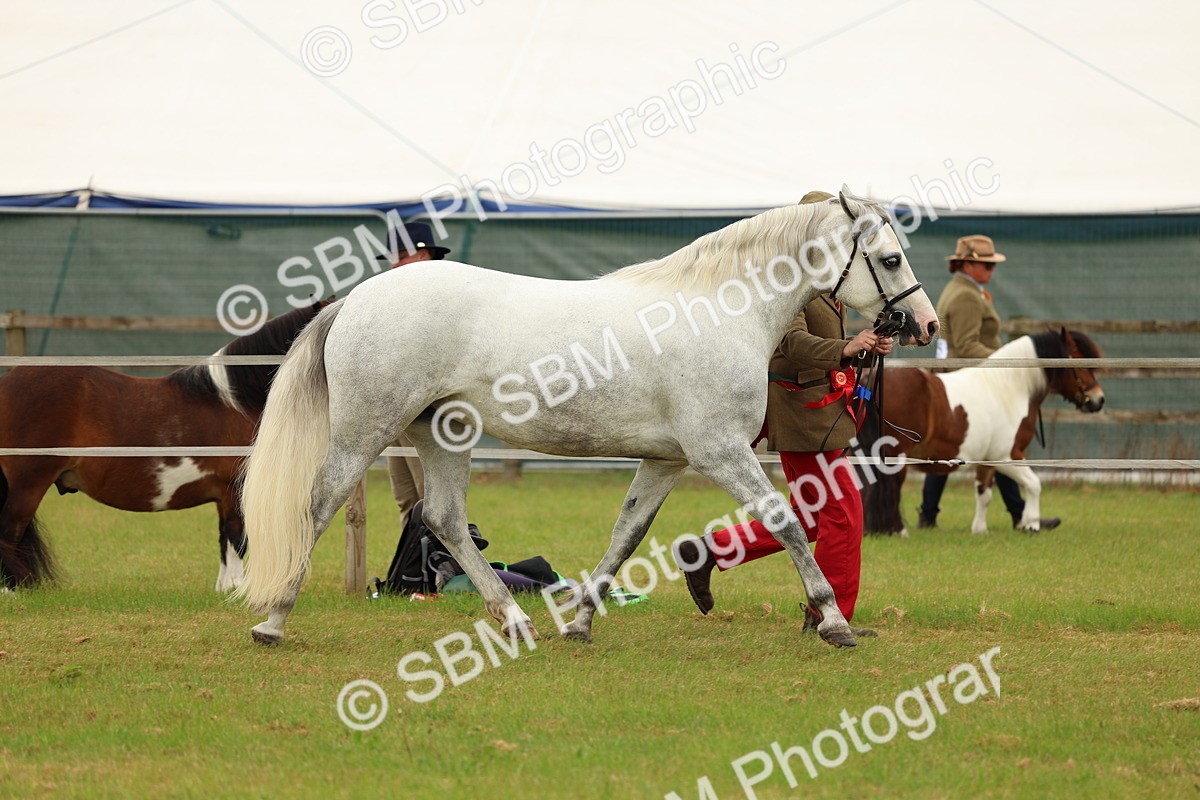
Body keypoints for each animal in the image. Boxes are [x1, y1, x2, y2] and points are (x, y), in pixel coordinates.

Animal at [0, 299, 330, 591]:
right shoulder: (234, 489)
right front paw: (237, 589)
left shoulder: (223, 495)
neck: (234, 401)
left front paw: (224, 590)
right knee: (9, 532)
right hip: (26, 484)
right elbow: (237, 539)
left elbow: (224, 541)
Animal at [238, 187, 940, 649]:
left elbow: (626, 534)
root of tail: (355, 300)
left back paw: (516, 622)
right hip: (365, 431)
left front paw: (578, 622)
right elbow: (787, 522)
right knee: (320, 504)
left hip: (444, 433)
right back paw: (273, 620)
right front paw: (834, 621)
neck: (718, 310)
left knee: (443, 519)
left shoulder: (666, 460)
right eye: (891, 258)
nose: (924, 324)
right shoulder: (720, 452)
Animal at [859, 329, 1105, 536]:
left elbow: (984, 494)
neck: (1006, 389)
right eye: (1082, 365)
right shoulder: (1007, 456)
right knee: (890, 488)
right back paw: (898, 531)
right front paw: (1032, 524)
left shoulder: (987, 461)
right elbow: (1034, 484)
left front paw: (980, 530)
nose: (1099, 400)